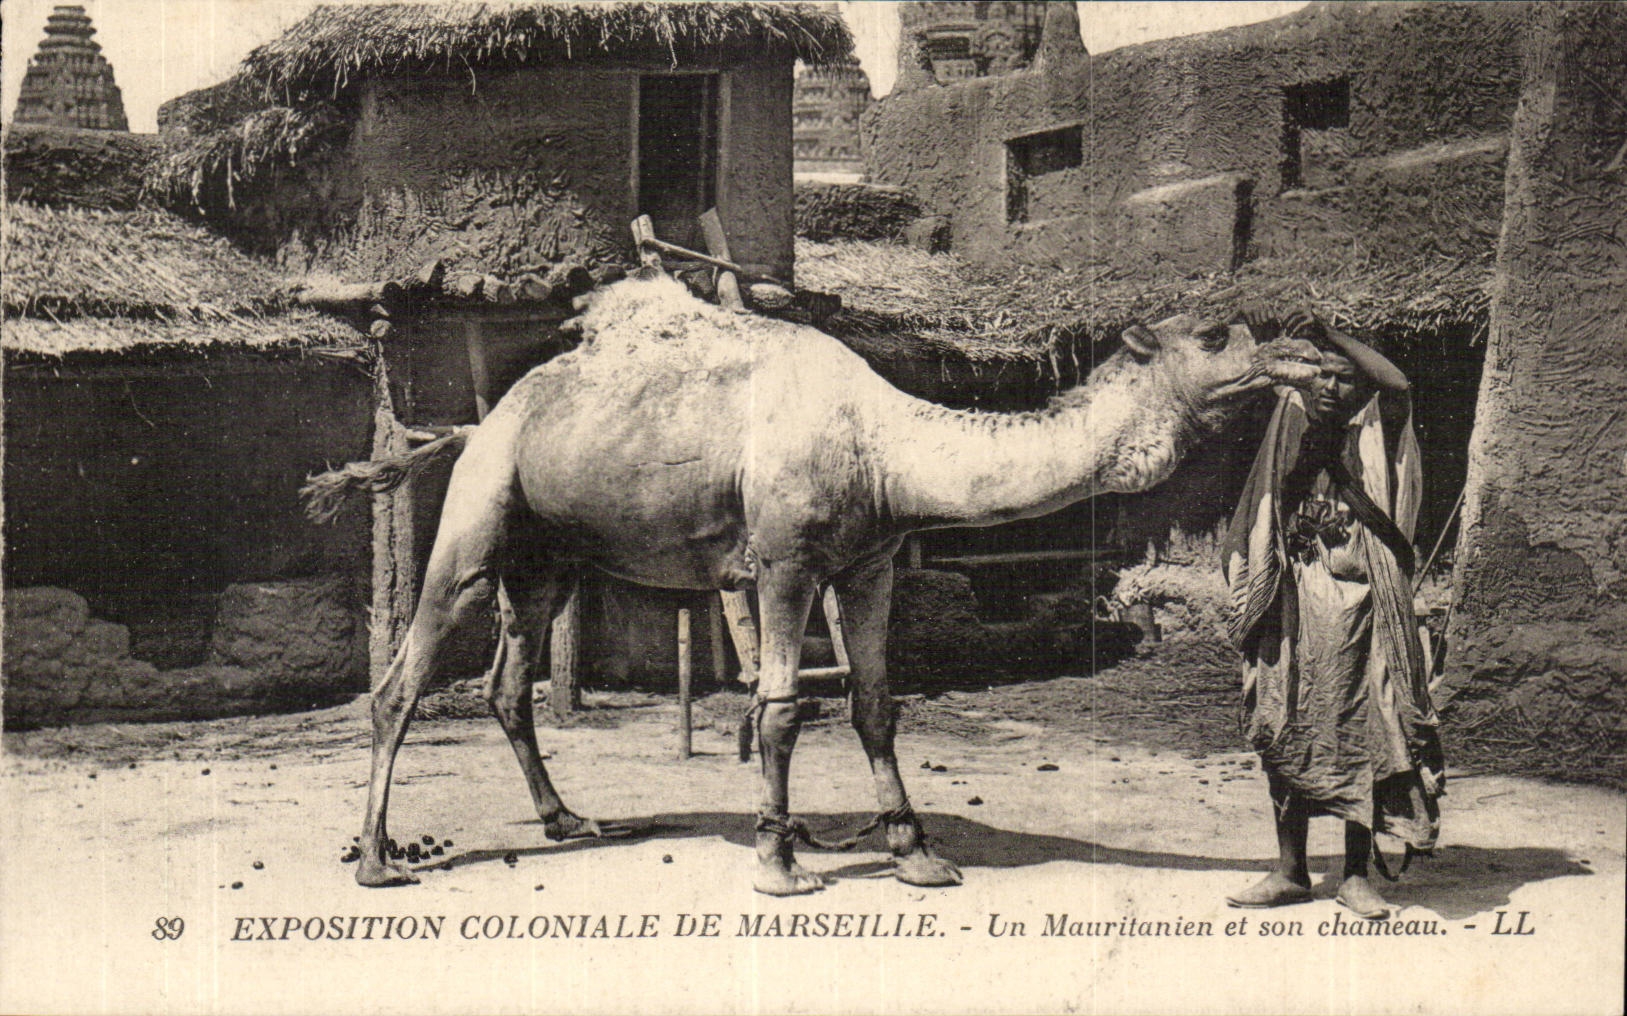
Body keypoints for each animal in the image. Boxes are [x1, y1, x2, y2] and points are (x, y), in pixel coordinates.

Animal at [307, 274, 1316, 893]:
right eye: (1218, 334)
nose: (1303, 355)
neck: (881, 446)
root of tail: (475, 426)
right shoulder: (784, 561)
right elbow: (783, 707)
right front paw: (780, 860)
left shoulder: (867, 563)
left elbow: (875, 703)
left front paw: (915, 855)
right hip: (478, 517)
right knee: (402, 680)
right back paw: (378, 861)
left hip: (547, 558)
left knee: (507, 684)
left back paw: (567, 821)